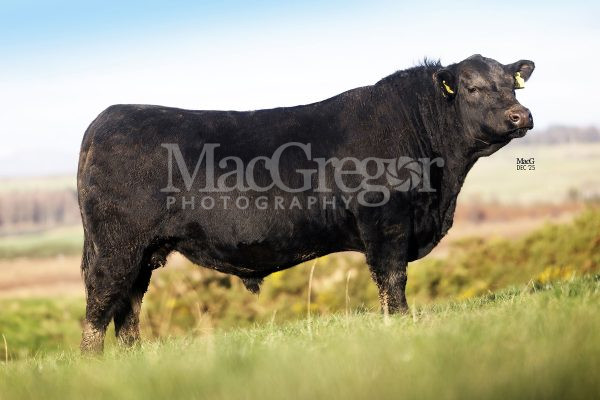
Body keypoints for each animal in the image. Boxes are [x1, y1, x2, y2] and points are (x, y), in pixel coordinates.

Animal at [77, 54, 534, 353]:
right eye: (473, 88)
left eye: (512, 84)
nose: (520, 115)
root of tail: (106, 118)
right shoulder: (385, 218)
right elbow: (392, 277)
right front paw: (401, 324)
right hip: (117, 247)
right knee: (102, 300)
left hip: (142, 252)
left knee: (129, 305)